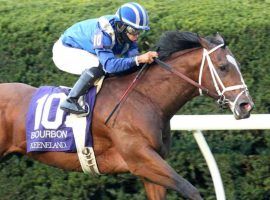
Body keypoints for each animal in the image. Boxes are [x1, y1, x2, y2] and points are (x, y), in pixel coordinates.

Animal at [0, 31, 253, 198]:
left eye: (237, 65)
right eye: (223, 67)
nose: (245, 106)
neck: (145, 99)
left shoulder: (151, 169)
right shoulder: (141, 160)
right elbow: (189, 189)